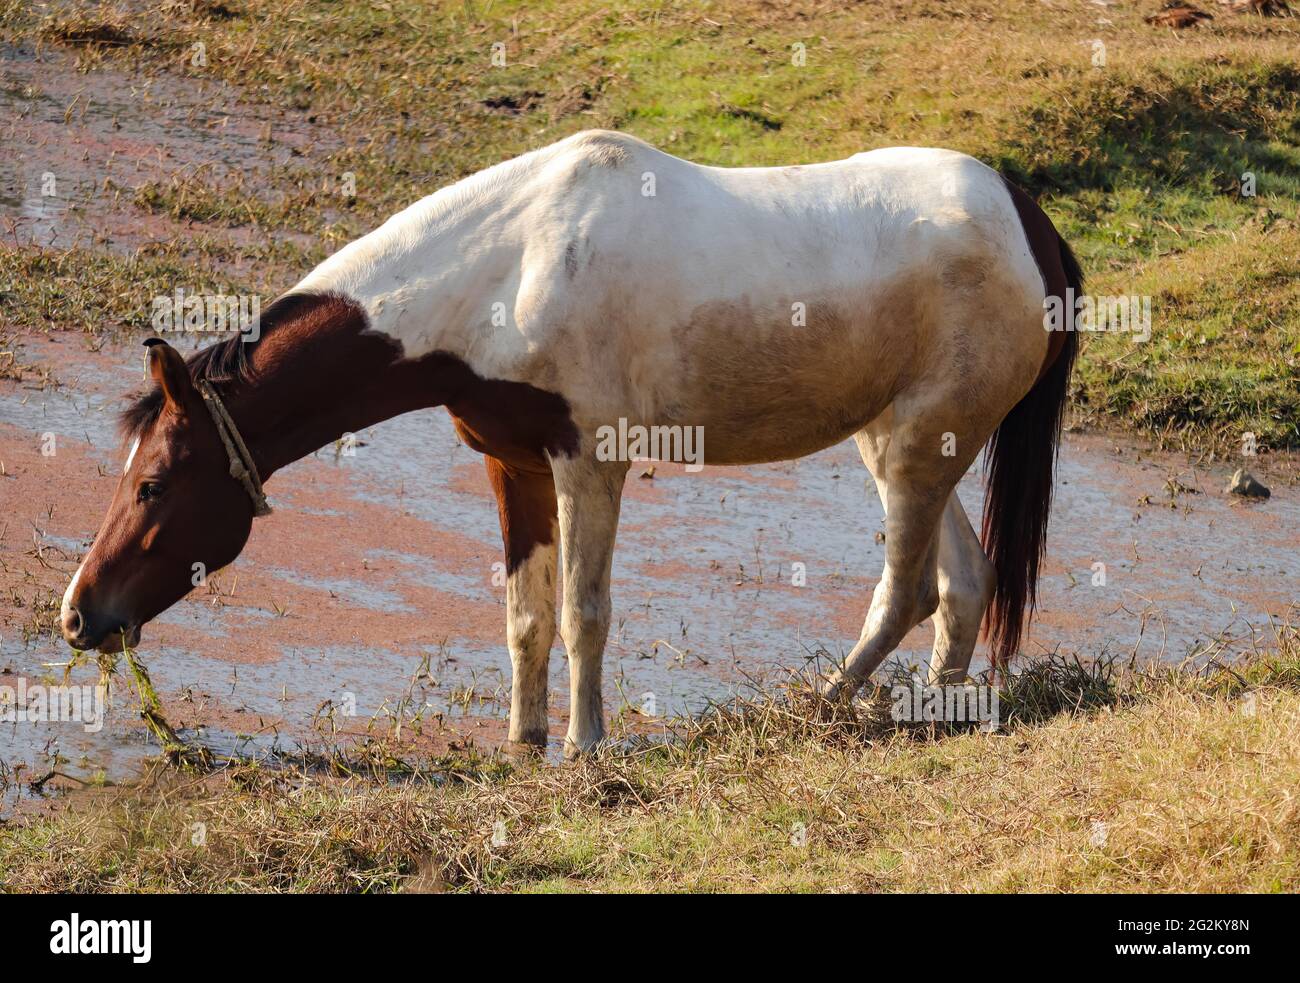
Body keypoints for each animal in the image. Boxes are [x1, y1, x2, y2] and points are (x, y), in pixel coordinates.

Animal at [60, 130, 1080, 756]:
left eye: (154, 485)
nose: (78, 616)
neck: (509, 267)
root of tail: (1032, 225)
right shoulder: (511, 462)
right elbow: (527, 615)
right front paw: (524, 739)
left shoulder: (591, 459)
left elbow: (586, 612)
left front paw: (586, 749)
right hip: (903, 443)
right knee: (965, 584)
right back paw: (932, 714)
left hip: (915, 449)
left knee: (907, 593)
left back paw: (821, 708)